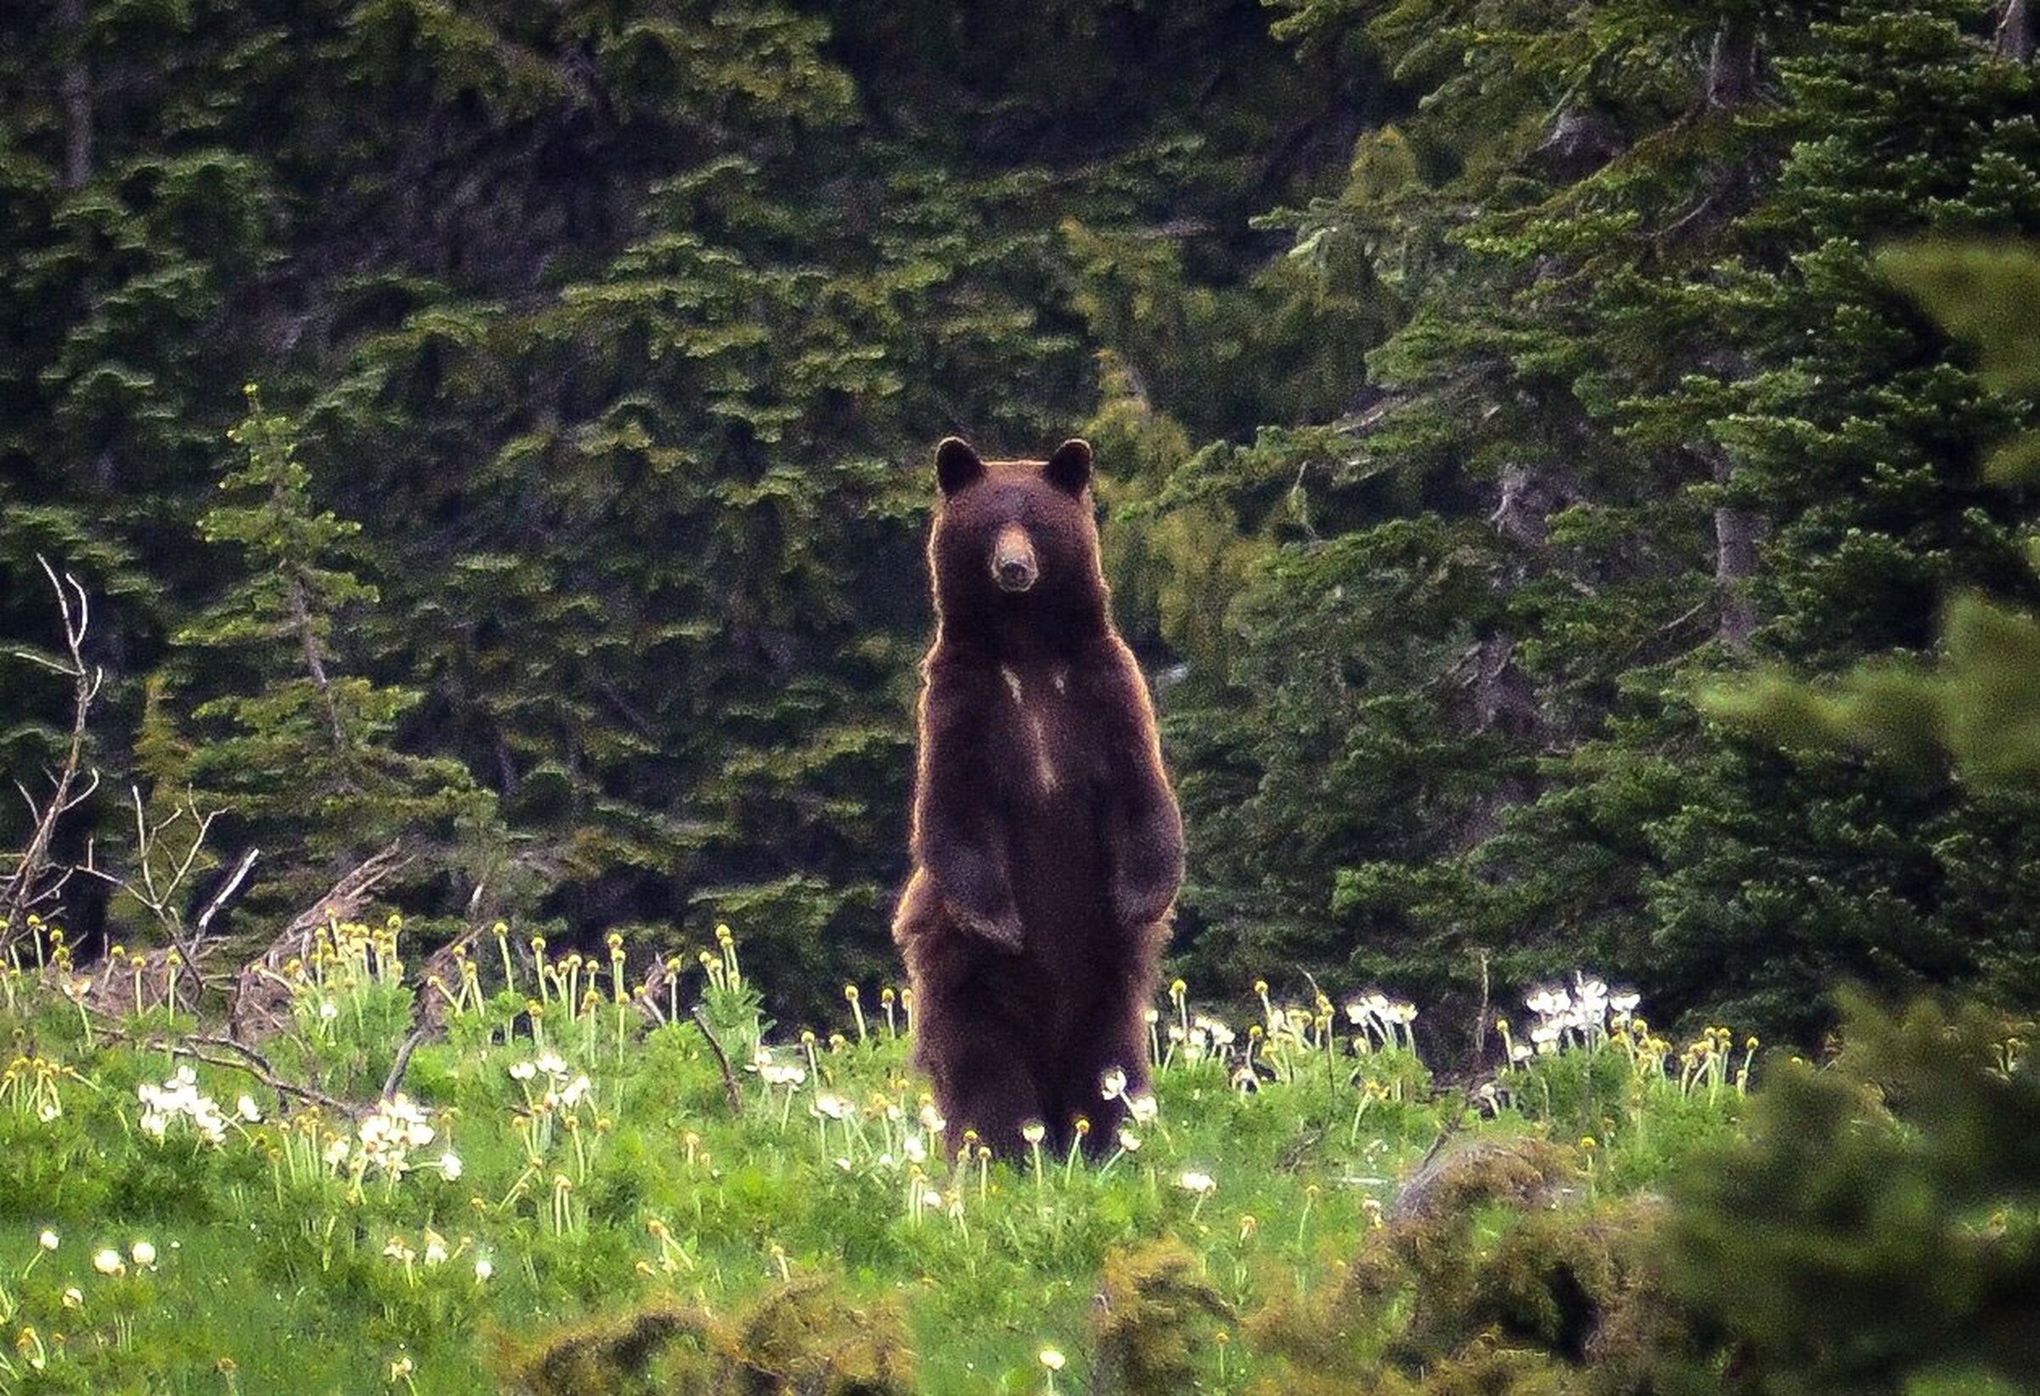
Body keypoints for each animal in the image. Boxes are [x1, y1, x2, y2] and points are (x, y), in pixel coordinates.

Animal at [889, 436, 1183, 1159]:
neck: (1026, 651)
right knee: (984, 1073)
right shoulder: (961, 705)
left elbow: (1143, 790)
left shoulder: (1105, 690)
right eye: (991, 524)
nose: (1015, 567)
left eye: (1038, 523)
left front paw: (1141, 900)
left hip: (1104, 986)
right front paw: (1002, 923)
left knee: (1109, 1064)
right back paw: (1004, 1149)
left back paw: (1103, 1143)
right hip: (968, 988)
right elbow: (950, 813)